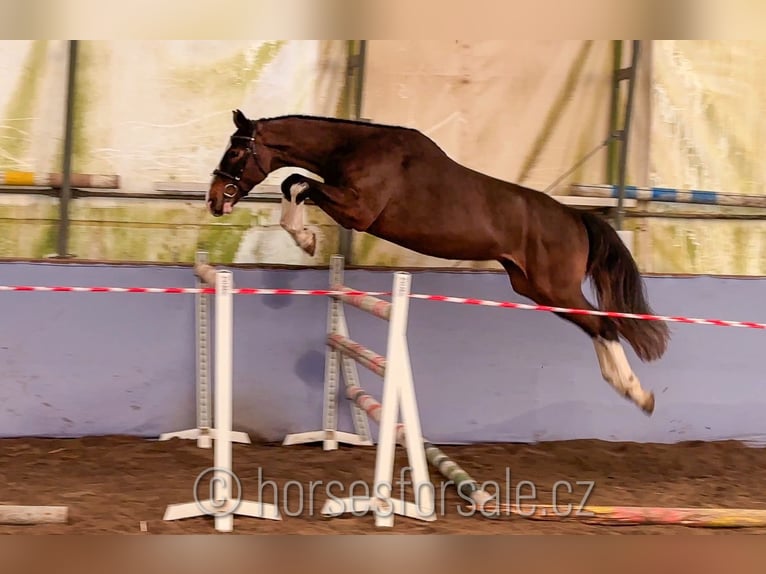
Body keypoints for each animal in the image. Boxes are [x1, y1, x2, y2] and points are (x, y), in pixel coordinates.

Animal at [207, 109, 668, 414]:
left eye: (235, 153)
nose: (215, 201)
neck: (357, 148)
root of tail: (576, 217)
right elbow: (294, 182)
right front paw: (304, 238)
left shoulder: (357, 211)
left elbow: (296, 181)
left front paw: (304, 238)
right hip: (535, 289)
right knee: (597, 327)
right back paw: (627, 389)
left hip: (554, 287)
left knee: (606, 326)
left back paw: (637, 393)